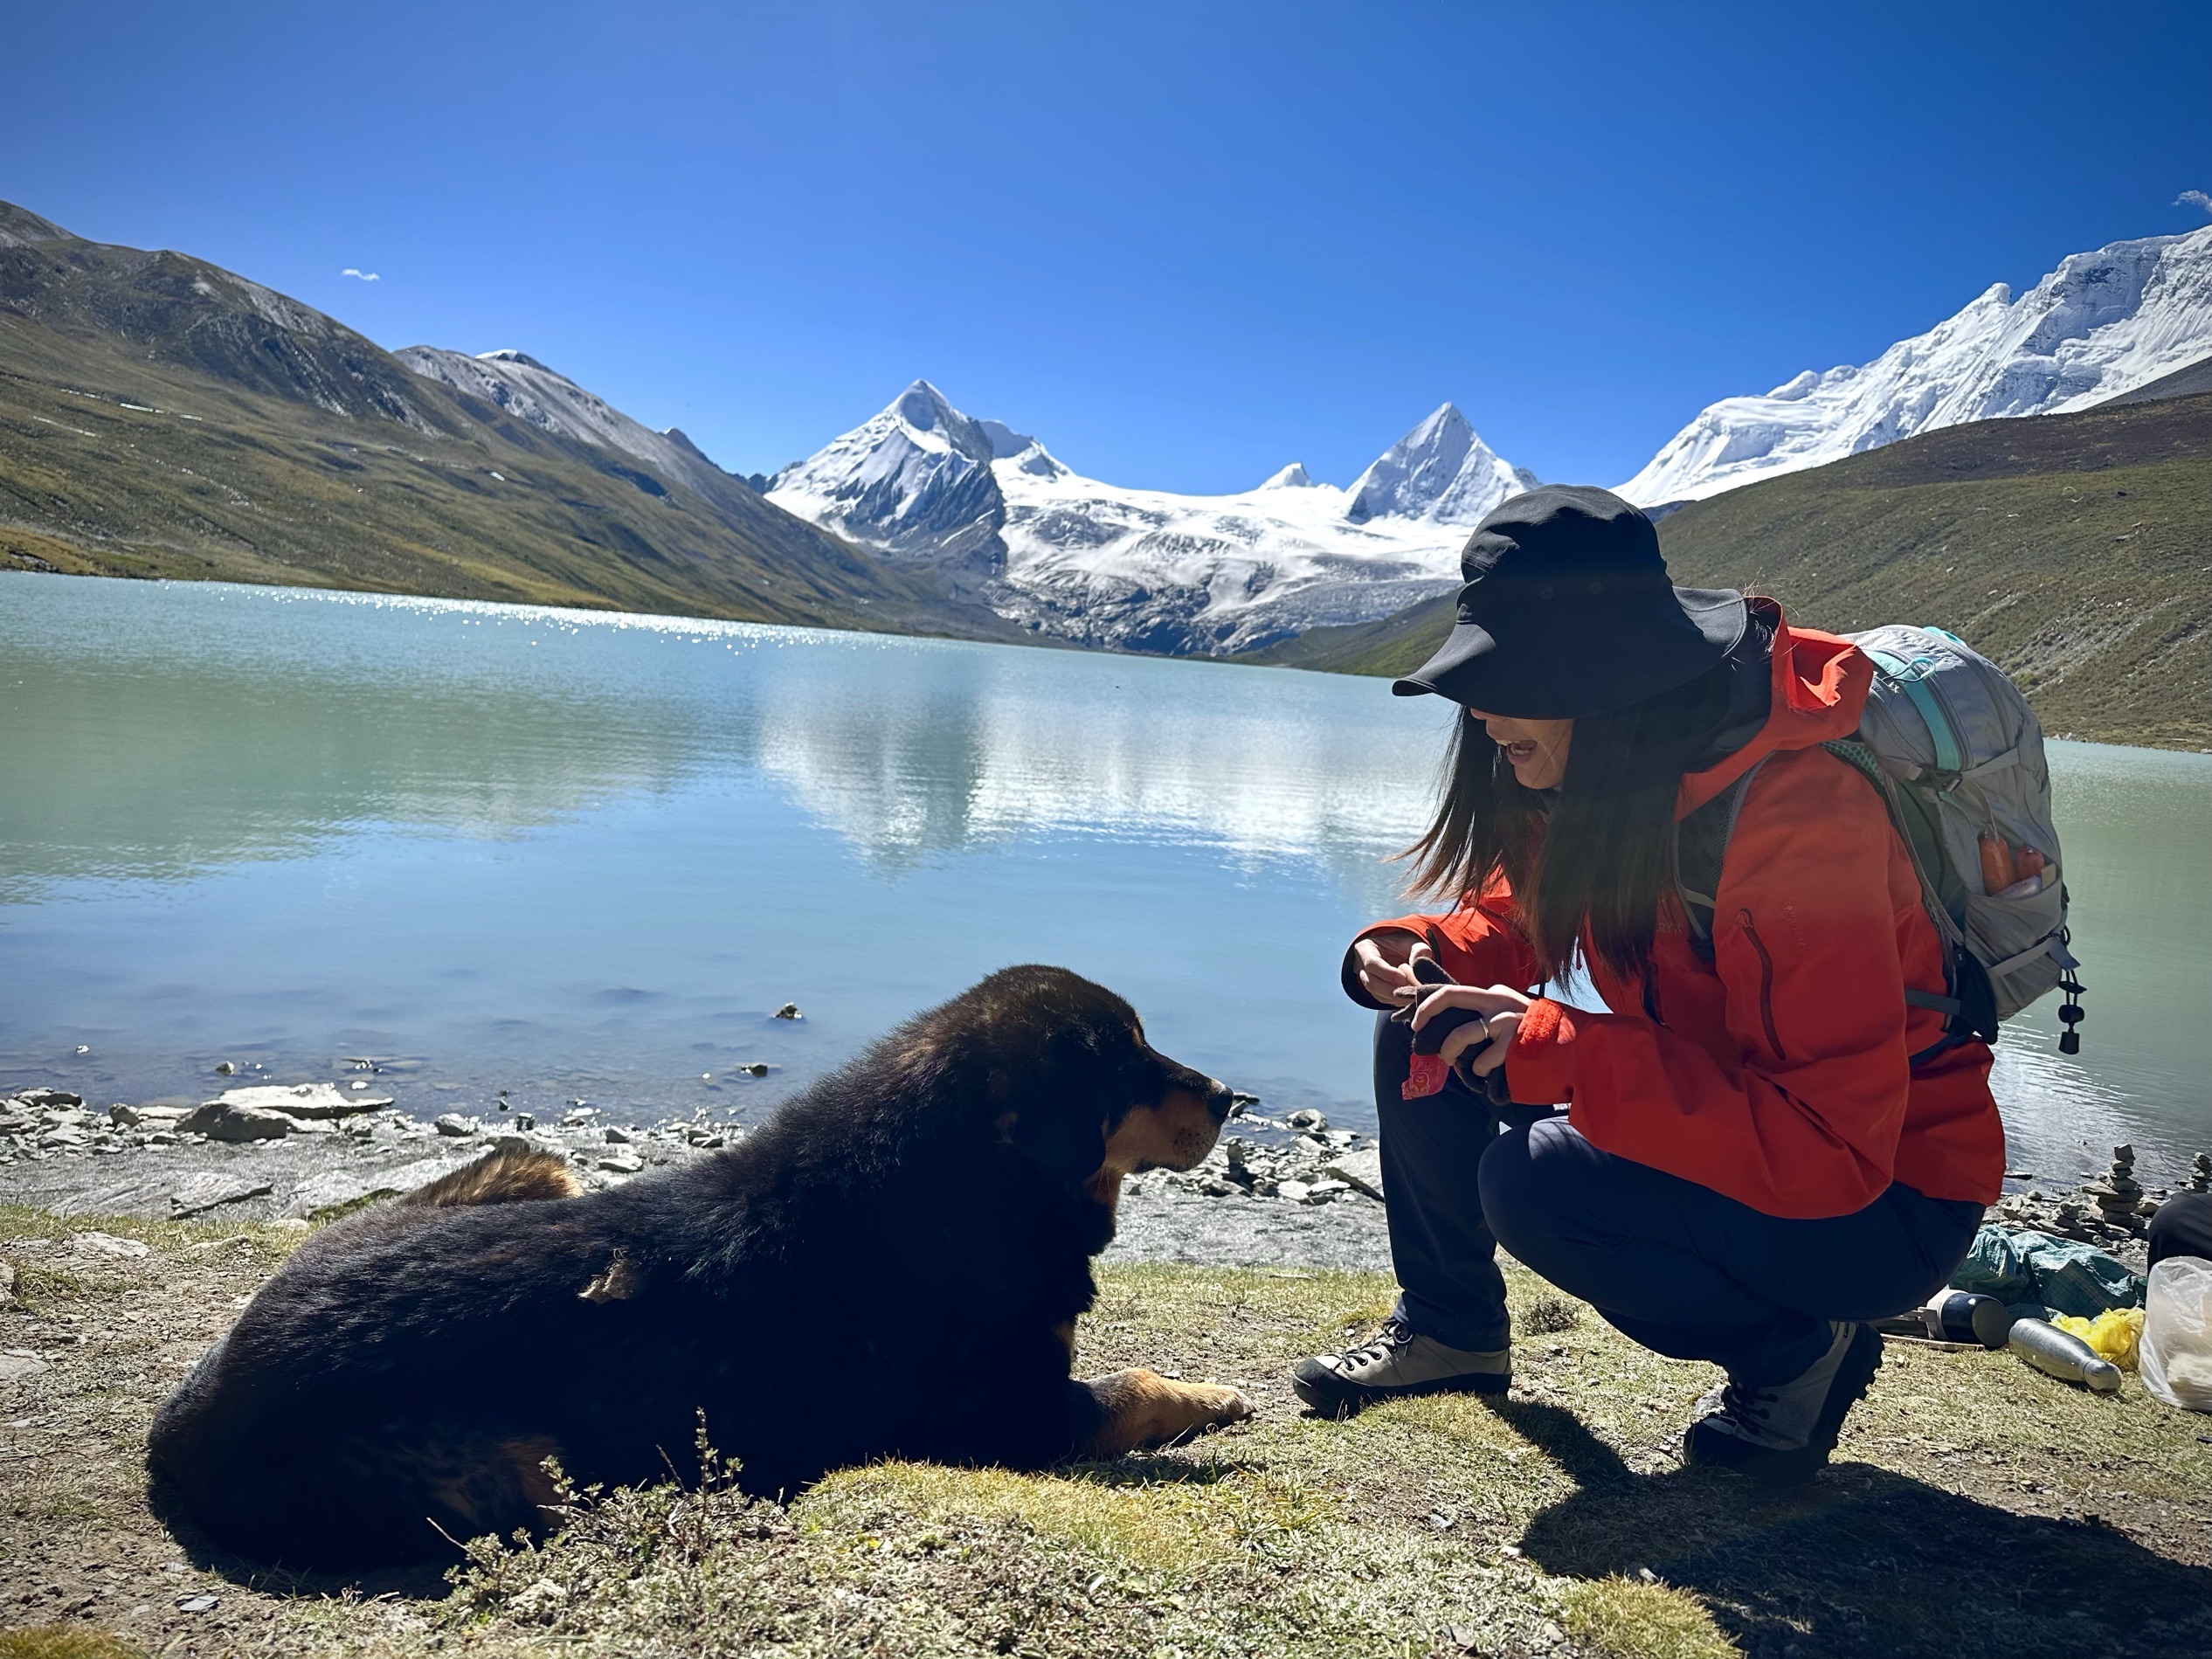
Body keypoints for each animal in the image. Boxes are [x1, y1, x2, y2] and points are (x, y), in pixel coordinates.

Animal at [147, 969, 1256, 1566]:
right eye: (1129, 1061)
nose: (1232, 1097)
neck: (962, 1180)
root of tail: (185, 1418)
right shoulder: (1010, 1423)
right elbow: (1129, 1386)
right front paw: (1212, 1398)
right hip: (524, 1470)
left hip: (527, 1169)